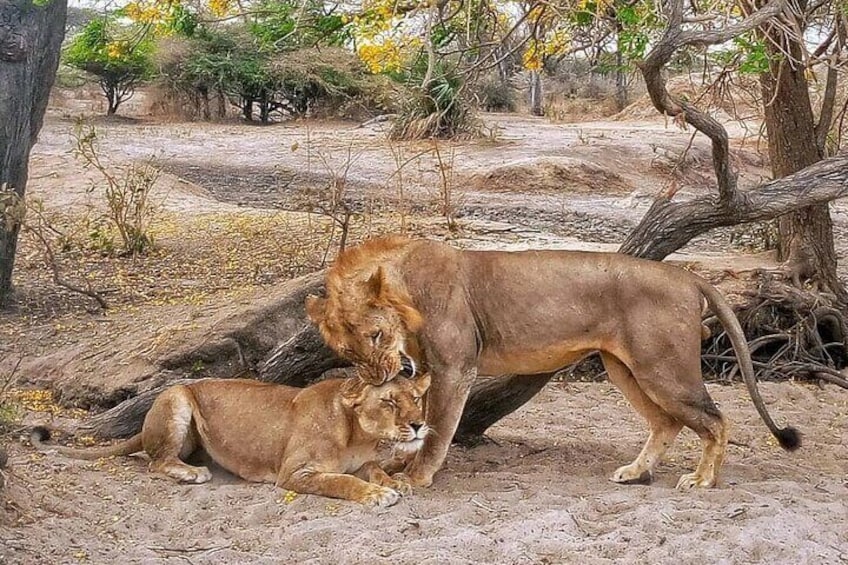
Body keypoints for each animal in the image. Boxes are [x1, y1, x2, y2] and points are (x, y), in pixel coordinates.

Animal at [31, 373, 431, 507]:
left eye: (416, 397)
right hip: (178, 396)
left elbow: (373, 470)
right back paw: (192, 472)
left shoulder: (363, 460)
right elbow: (342, 482)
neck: (358, 435)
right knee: (157, 461)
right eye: (390, 401)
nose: (418, 424)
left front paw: (395, 481)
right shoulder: (294, 473)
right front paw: (378, 494)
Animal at [305, 236, 800, 490]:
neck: (405, 287)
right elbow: (420, 423)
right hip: (625, 369)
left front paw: (417, 477)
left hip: (663, 368)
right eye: (349, 352)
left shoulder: (455, 367)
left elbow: (438, 427)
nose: (381, 376)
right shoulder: (428, 369)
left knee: (716, 420)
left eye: (375, 335)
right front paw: (397, 465)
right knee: (667, 423)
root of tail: (688, 275)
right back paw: (635, 472)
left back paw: (702, 480)